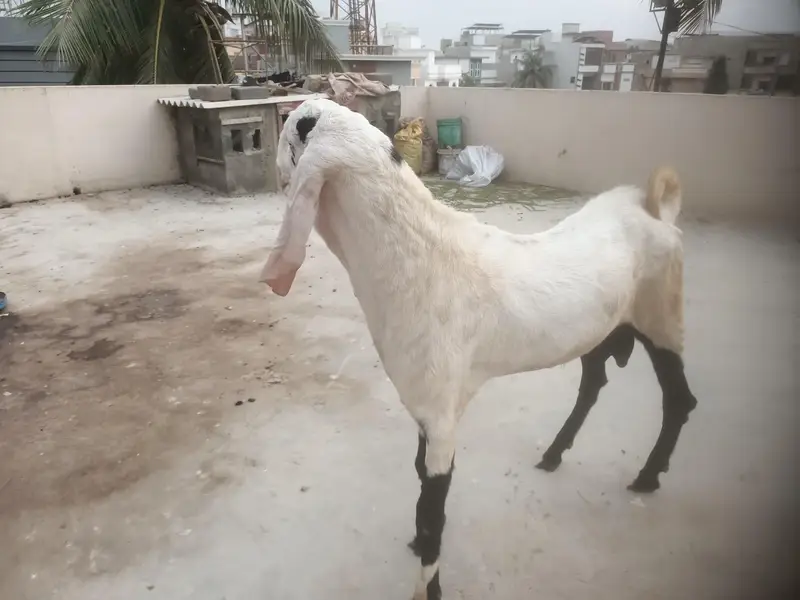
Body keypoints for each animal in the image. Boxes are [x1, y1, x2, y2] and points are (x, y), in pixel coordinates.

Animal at [260, 98, 698, 600]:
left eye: (295, 128)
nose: (274, 171)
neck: (418, 258)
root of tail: (656, 211)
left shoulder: (442, 413)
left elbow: (433, 514)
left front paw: (428, 585)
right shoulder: (427, 408)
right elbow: (419, 486)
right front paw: (416, 545)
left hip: (662, 317)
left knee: (679, 399)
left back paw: (646, 477)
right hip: (605, 326)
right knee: (594, 381)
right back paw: (554, 455)